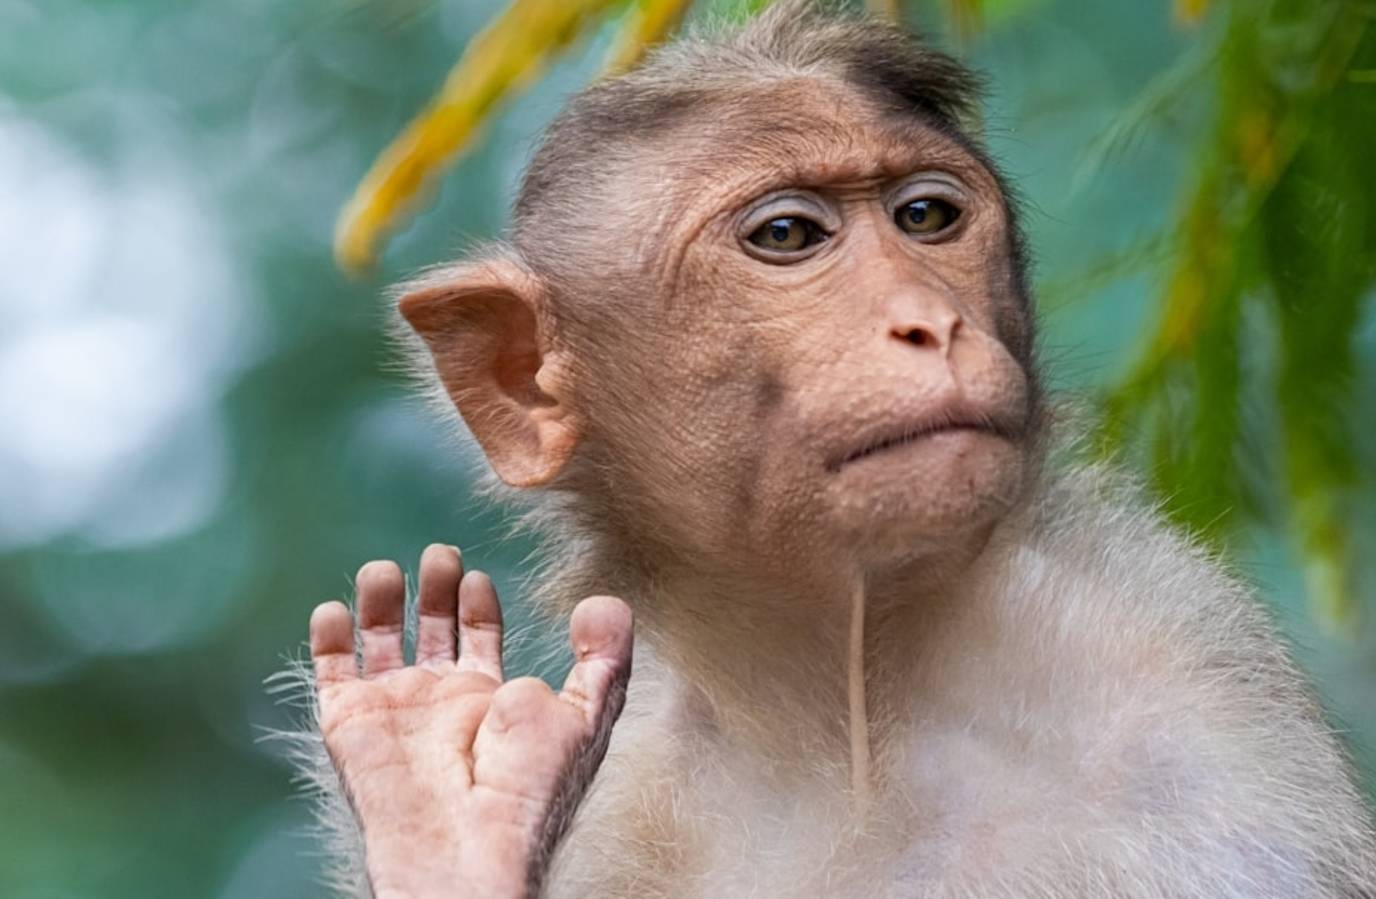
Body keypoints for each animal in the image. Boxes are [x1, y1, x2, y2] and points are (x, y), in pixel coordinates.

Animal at [285, 3, 1376, 897]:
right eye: (786, 235)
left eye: (926, 216)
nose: (930, 323)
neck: (842, 704)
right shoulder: (621, 808)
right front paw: (443, 802)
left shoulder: (1186, 706)